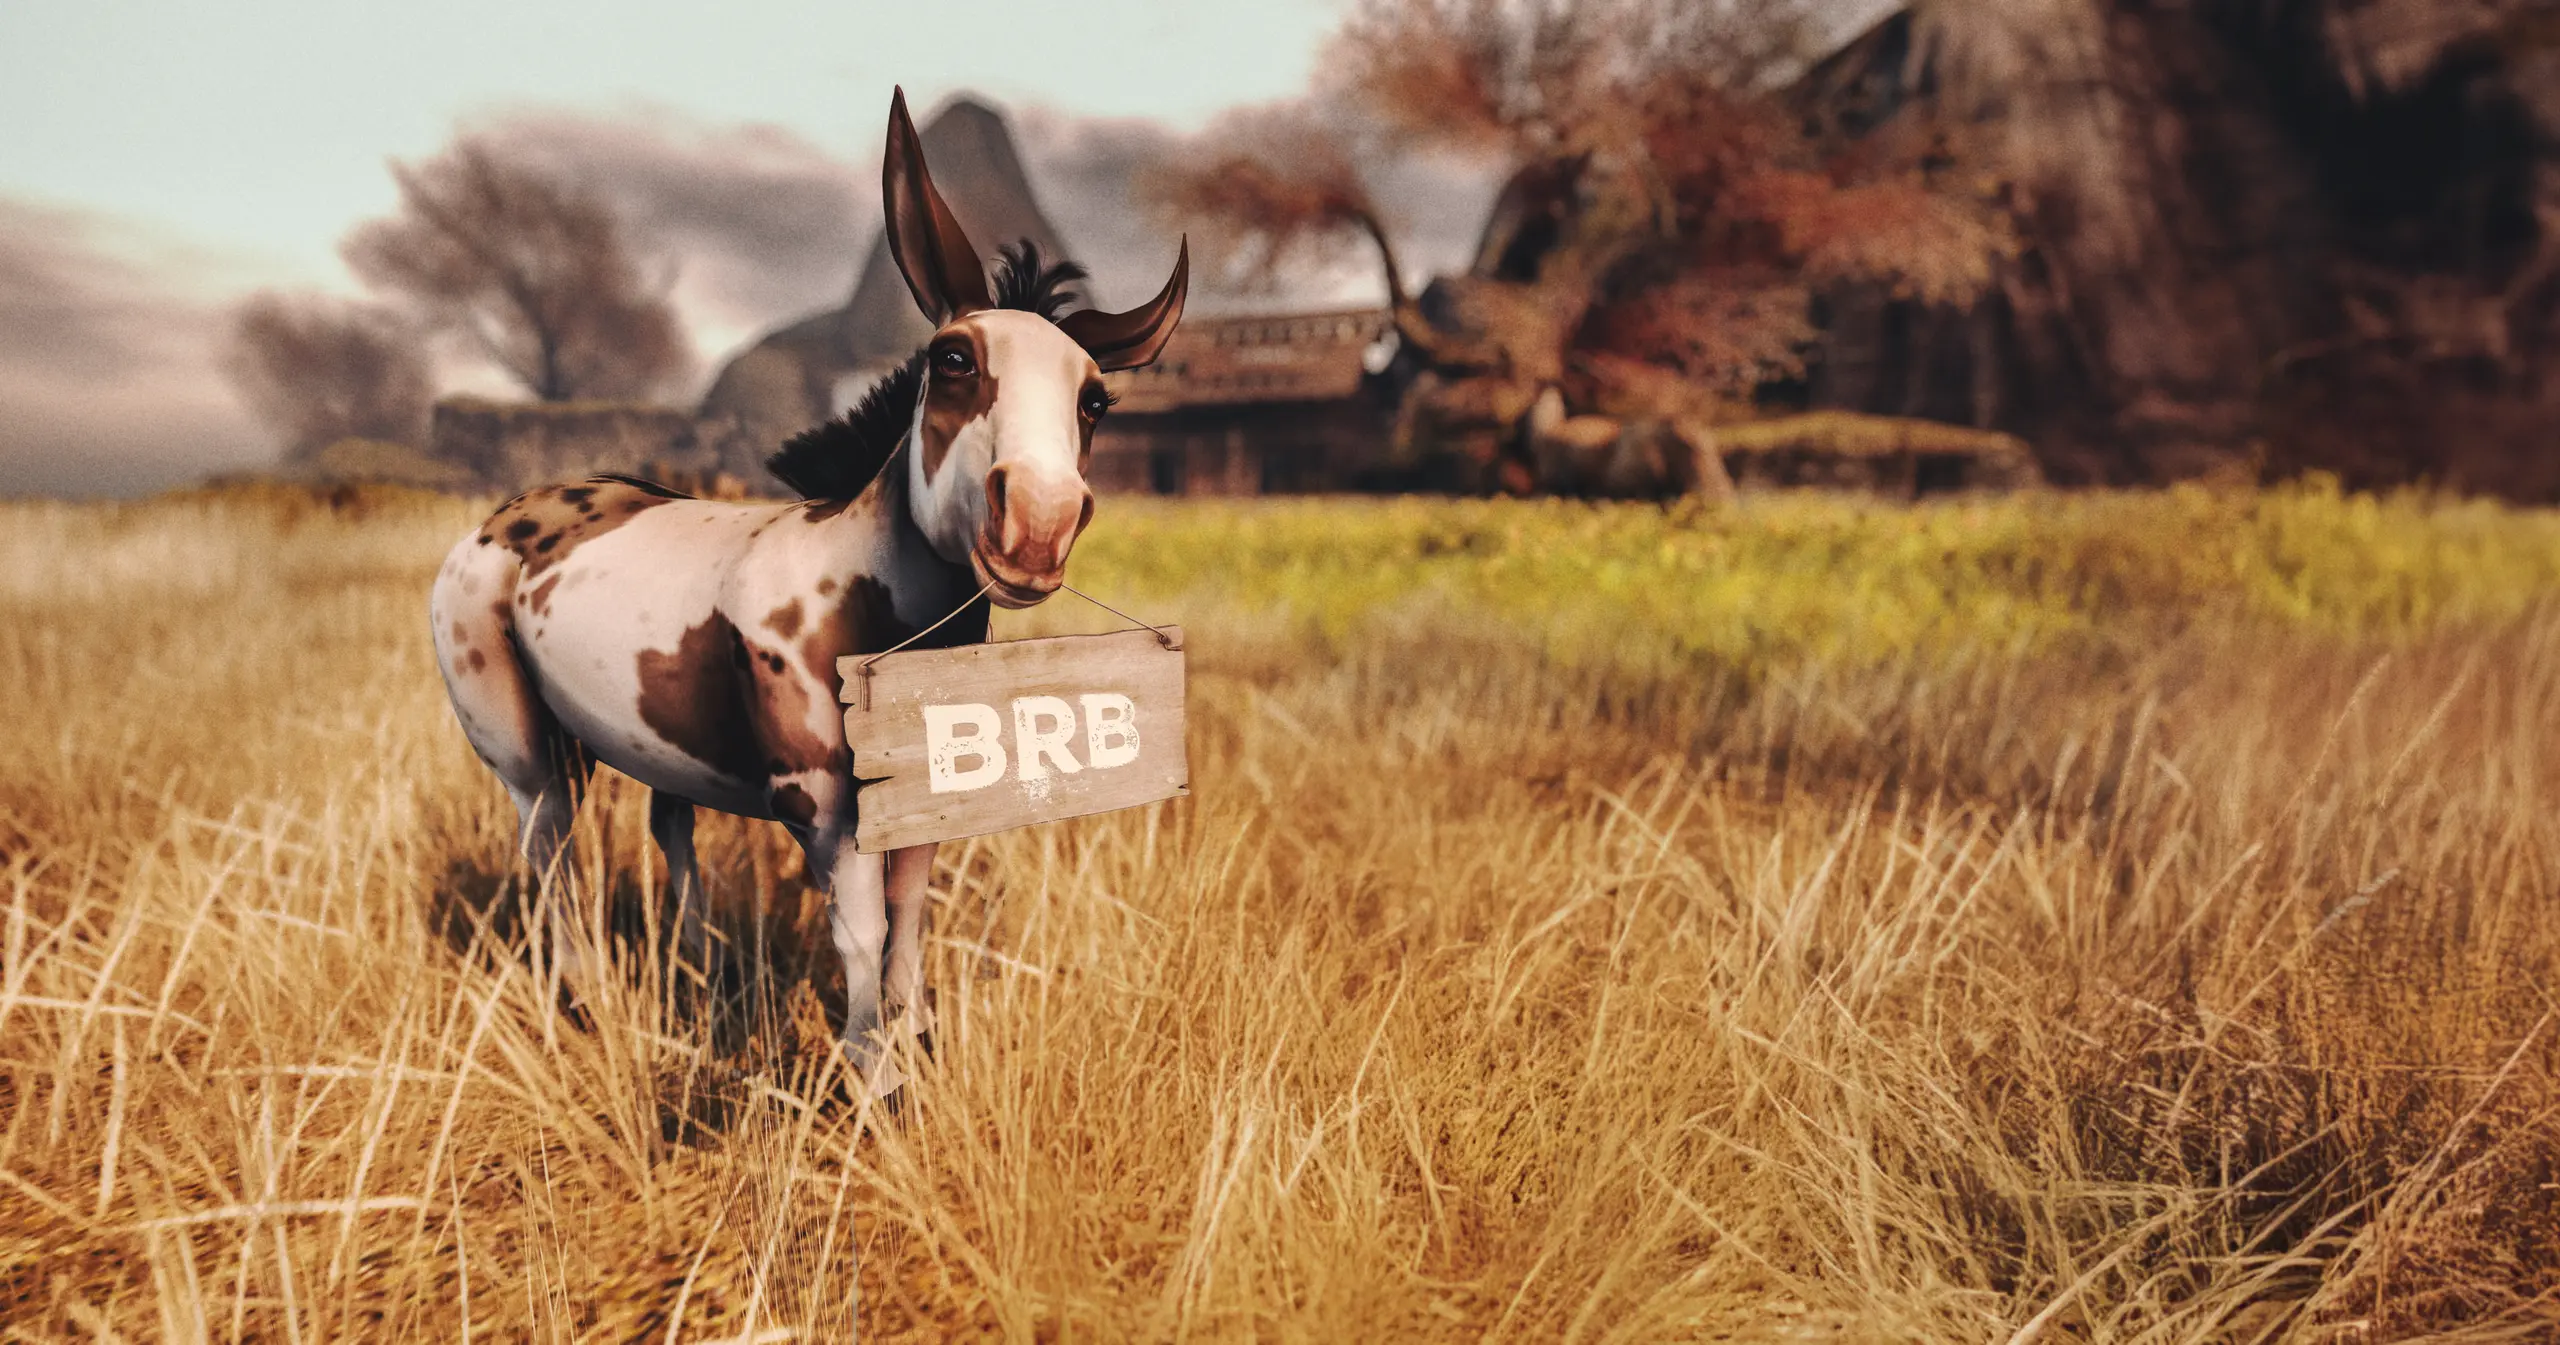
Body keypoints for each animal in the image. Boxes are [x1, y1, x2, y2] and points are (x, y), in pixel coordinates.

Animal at [428, 87, 1187, 1086]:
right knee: (549, 853)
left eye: (1094, 398)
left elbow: (907, 928)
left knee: (667, 826)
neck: (861, 602)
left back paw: (698, 978)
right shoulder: (822, 810)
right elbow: (860, 941)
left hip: (647, 746)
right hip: (525, 755)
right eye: (953, 359)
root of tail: (507, 515)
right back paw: (584, 1008)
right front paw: (873, 1087)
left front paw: (913, 1056)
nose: (1037, 525)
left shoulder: (915, 806)